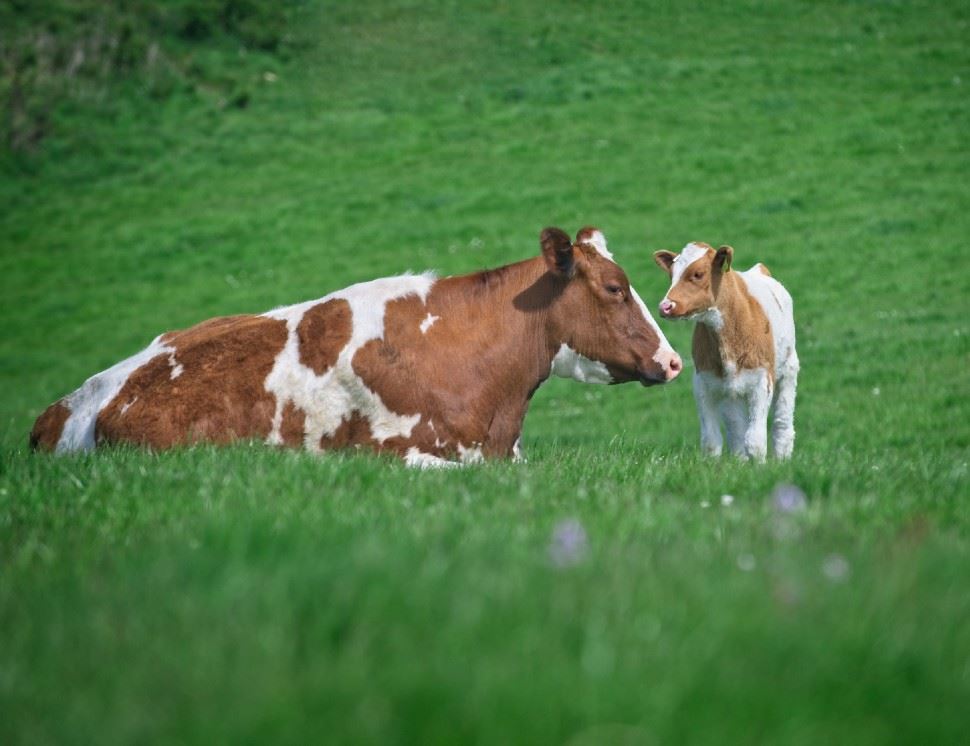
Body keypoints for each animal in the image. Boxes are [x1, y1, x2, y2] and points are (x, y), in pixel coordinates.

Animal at [652, 241, 796, 460]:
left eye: (698, 274)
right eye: (671, 274)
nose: (665, 306)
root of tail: (759, 270)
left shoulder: (762, 380)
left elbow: (755, 441)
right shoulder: (703, 382)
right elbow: (711, 442)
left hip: (789, 368)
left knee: (782, 425)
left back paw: (782, 460)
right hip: (730, 391)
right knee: (736, 429)